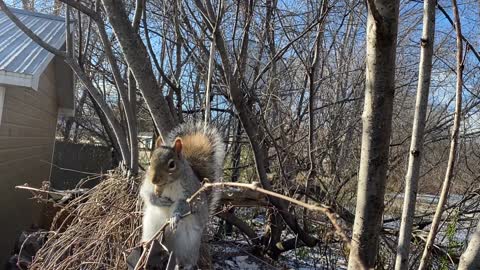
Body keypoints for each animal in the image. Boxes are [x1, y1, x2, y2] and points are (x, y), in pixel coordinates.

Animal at [139, 122, 225, 268]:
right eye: (150, 162)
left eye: (172, 164)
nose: (154, 180)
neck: (168, 184)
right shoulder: (147, 185)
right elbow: (147, 195)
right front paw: (160, 201)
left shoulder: (188, 193)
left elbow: (184, 205)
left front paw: (175, 217)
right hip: (152, 227)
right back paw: (146, 247)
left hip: (189, 244)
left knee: (187, 259)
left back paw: (187, 265)